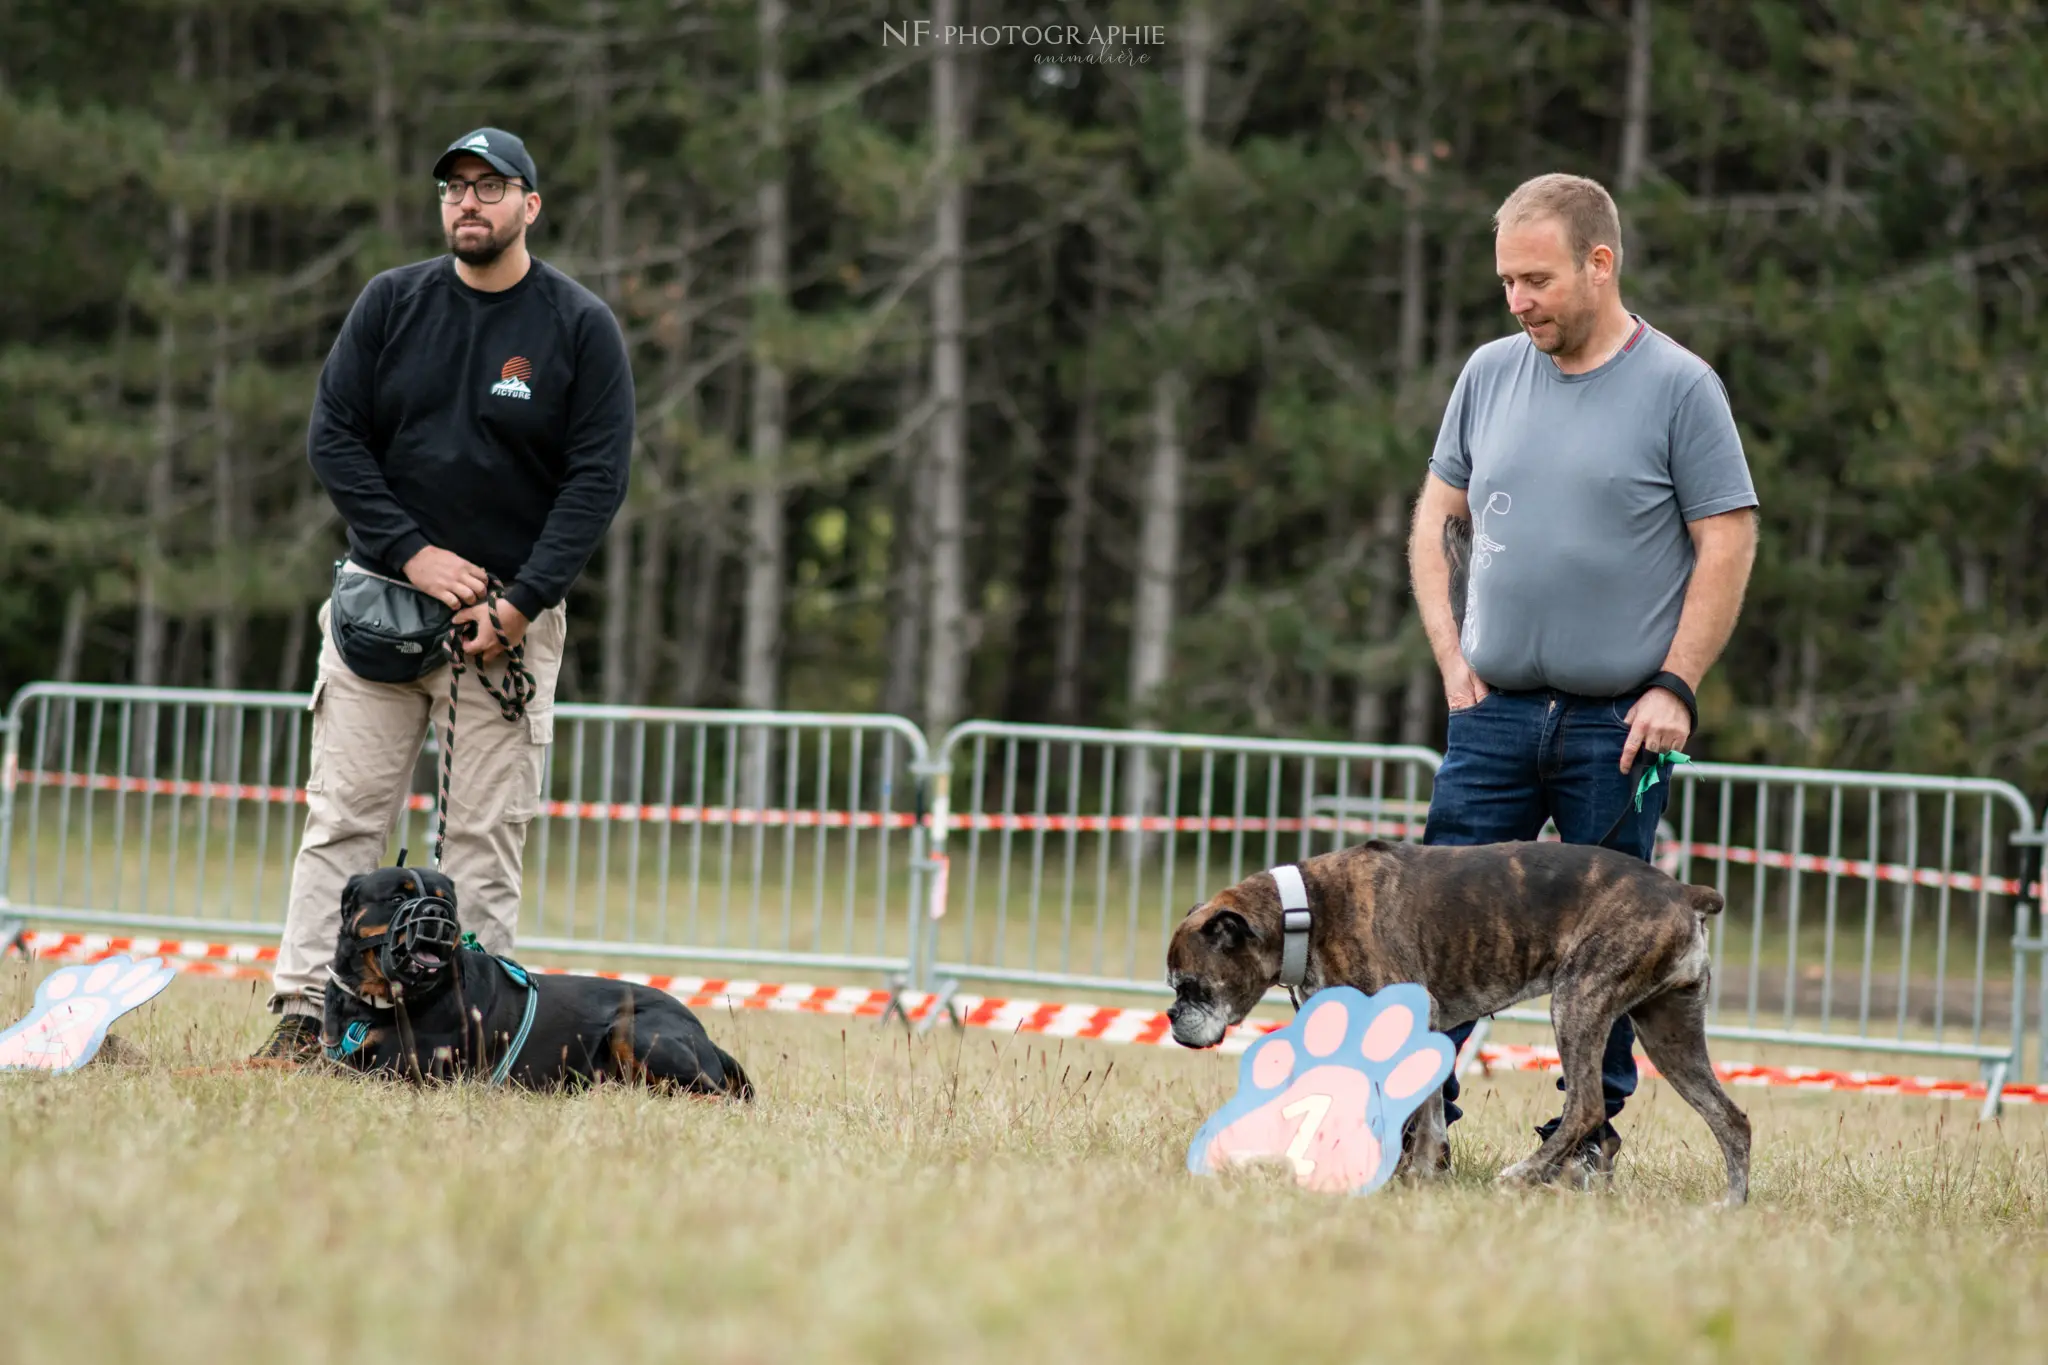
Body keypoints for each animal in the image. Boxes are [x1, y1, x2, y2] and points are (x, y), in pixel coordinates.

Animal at [1171, 843, 1744, 1203]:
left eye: (1191, 987)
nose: (1173, 1017)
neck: (1306, 912)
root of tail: (1683, 892)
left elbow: (1402, 1108)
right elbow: (1425, 1112)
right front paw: (1421, 1172)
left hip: (1580, 1001)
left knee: (1586, 1106)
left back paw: (1522, 1175)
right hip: (1669, 1032)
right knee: (1732, 1119)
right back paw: (1729, 1208)